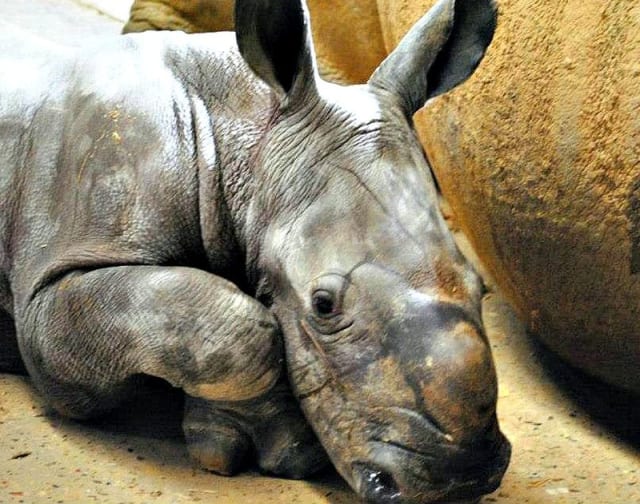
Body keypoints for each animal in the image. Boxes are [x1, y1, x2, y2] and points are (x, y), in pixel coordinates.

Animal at [0, 0, 510, 501]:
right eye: (323, 305)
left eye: (481, 287)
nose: (460, 480)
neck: (238, 139)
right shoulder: (51, 288)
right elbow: (240, 327)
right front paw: (283, 449)